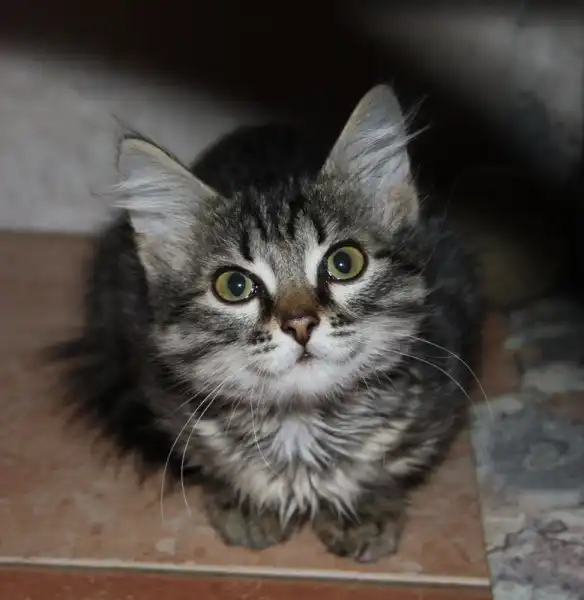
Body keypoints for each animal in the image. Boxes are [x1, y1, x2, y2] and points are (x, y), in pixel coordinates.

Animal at [53, 85, 483, 563]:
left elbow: (392, 465)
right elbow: (213, 460)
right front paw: (246, 503)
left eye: (344, 263)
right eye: (235, 285)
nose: (300, 323)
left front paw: (364, 506)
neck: (300, 422)